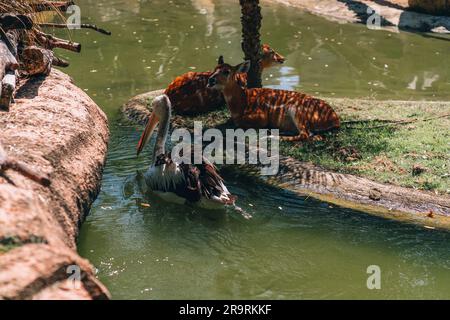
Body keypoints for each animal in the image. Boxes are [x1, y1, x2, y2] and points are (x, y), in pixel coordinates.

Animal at [206, 57, 340, 141]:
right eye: (214, 68)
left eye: (226, 71)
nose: (211, 80)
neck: (242, 102)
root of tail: (334, 119)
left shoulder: (262, 117)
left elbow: (239, 122)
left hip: (297, 110)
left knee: (305, 135)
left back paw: (272, 136)